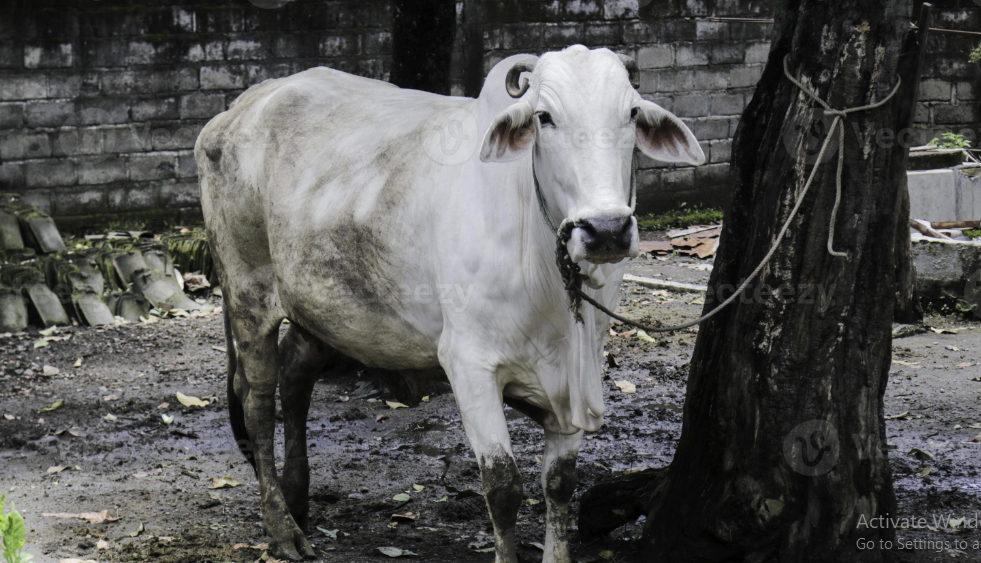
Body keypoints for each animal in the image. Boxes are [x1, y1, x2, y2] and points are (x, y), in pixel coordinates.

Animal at [197, 45, 704, 563]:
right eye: (544, 117)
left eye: (632, 113)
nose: (606, 230)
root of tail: (242, 105)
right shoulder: (468, 362)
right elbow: (503, 487)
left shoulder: (576, 376)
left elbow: (560, 484)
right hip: (247, 291)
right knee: (257, 399)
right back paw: (281, 527)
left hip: (324, 305)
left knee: (296, 374)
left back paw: (297, 499)